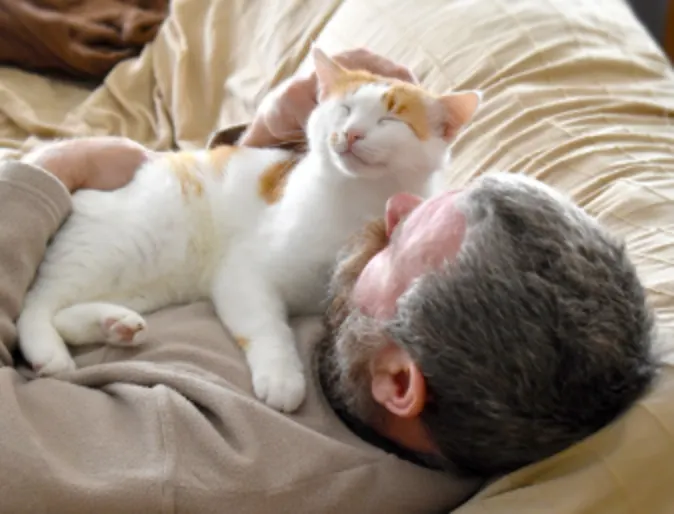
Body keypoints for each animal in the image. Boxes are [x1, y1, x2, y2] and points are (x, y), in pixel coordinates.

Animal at [15, 46, 478, 410]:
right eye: (344, 109)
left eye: (390, 120)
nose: (349, 133)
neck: (354, 199)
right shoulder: (244, 274)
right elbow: (266, 327)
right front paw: (282, 377)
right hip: (117, 247)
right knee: (36, 304)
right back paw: (50, 351)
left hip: (148, 281)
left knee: (65, 312)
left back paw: (114, 324)